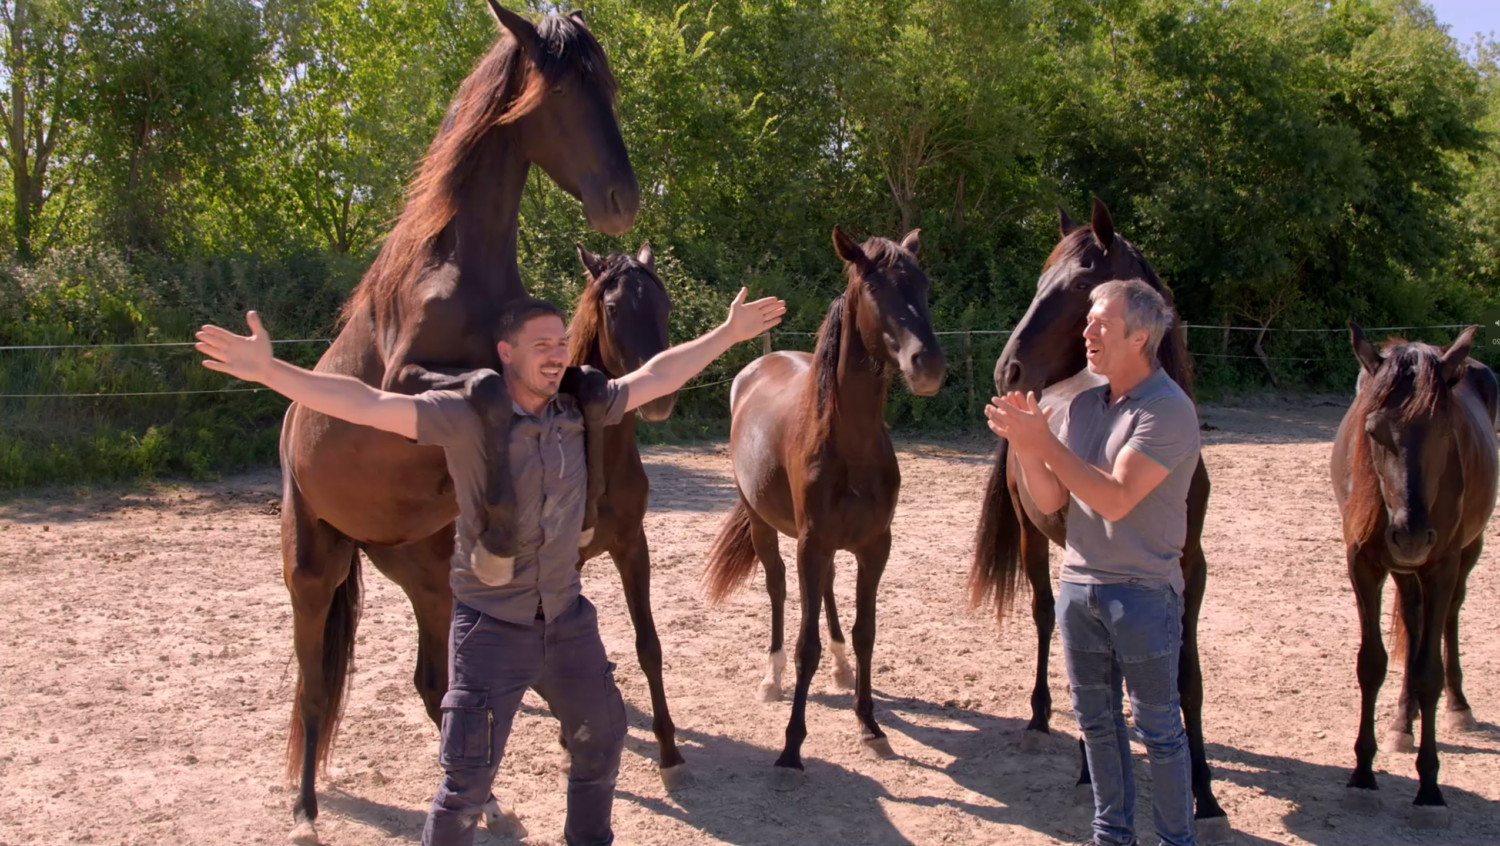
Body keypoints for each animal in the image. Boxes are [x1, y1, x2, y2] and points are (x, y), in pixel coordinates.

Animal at [276, 4, 639, 840]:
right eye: (562, 92)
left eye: (607, 85)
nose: (623, 199)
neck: (460, 271)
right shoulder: (406, 387)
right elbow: (482, 389)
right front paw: (508, 516)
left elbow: (578, 384)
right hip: (313, 565)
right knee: (313, 688)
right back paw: (306, 810)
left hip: (425, 572)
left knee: (431, 680)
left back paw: (493, 804)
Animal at [699, 228, 936, 792]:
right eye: (874, 290)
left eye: (925, 286)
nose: (928, 364)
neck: (850, 444)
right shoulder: (812, 542)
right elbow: (805, 641)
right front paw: (791, 747)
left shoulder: (875, 545)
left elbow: (867, 632)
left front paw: (870, 725)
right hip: (764, 526)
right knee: (779, 589)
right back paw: (772, 677)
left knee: (824, 591)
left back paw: (842, 669)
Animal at [1332, 322, 1494, 828]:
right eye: (1372, 430)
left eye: (1445, 429)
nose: (1410, 535)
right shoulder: (1363, 565)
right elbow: (1372, 663)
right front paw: (1363, 775)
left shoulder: (1440, 566)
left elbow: (1427, 672)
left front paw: (1429, 788)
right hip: (1405, 570)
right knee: (1414, 614)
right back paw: (1403, 722)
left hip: (1465, 554)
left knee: (1448, 619)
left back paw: (1459, 707)